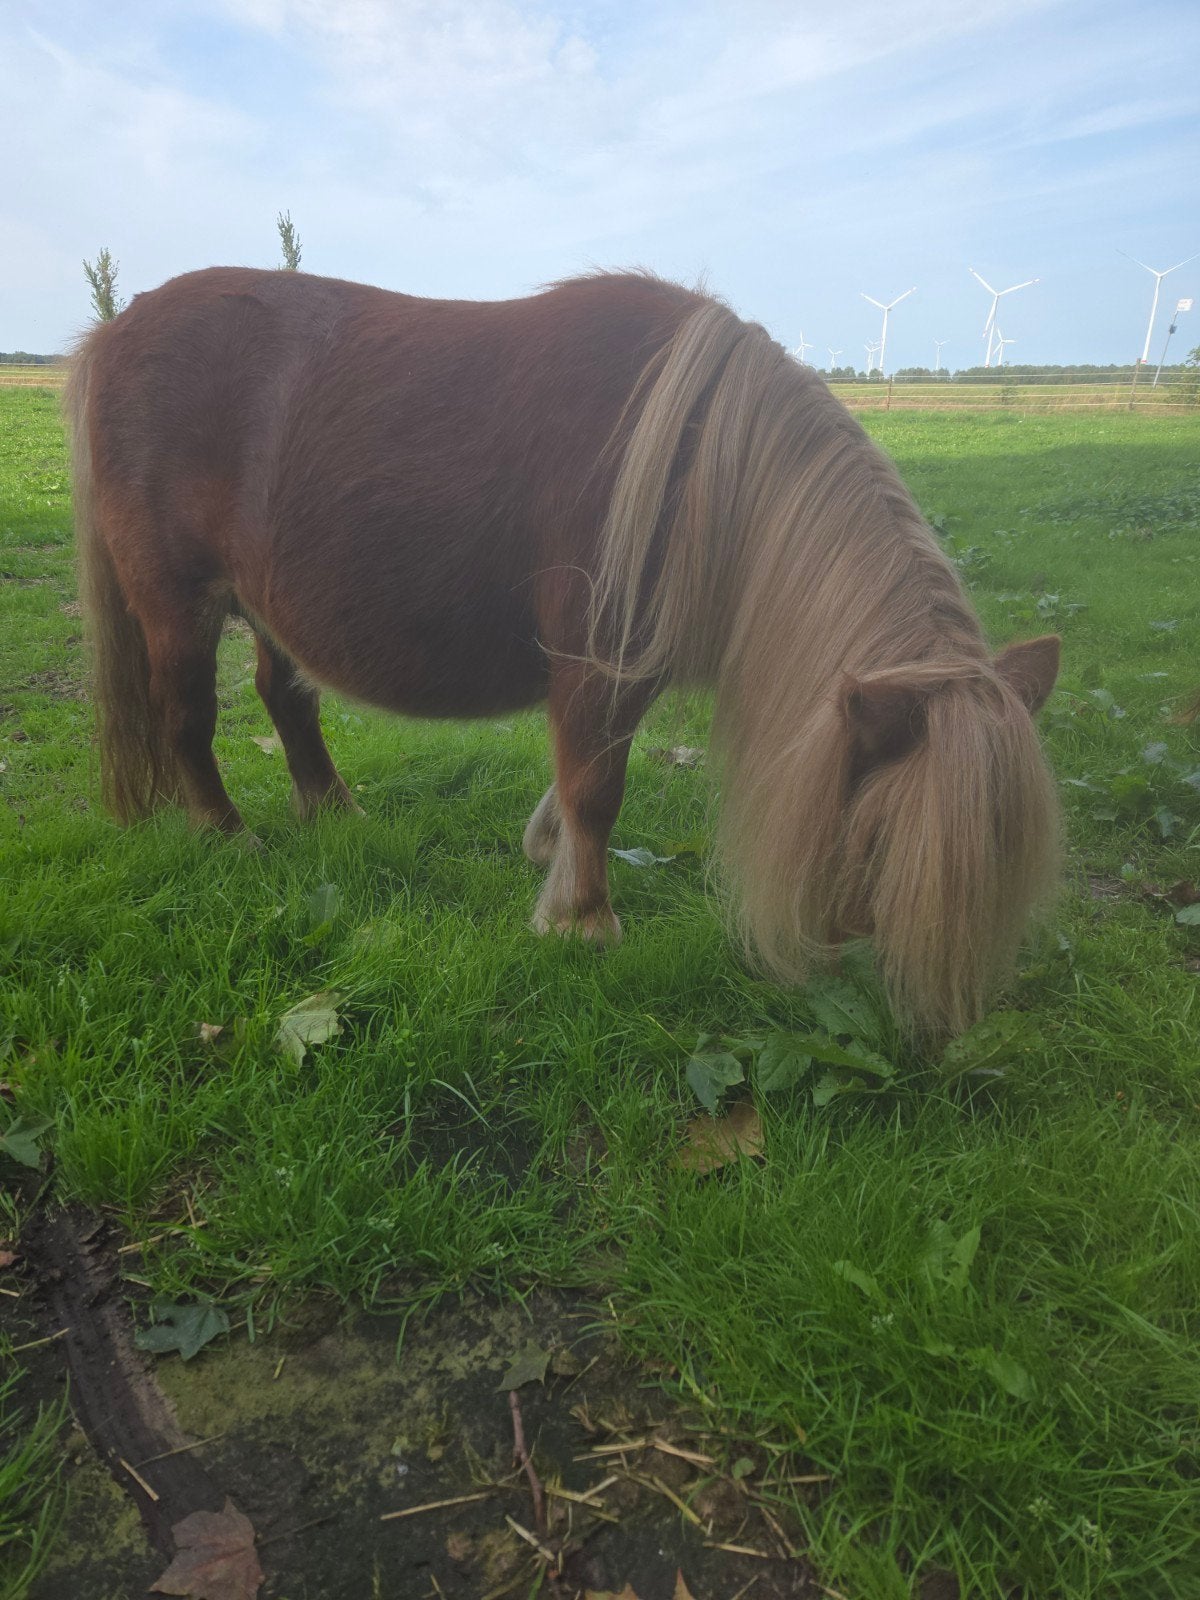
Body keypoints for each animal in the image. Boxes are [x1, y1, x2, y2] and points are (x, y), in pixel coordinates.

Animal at [64, 267, 1062, 1038]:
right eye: (886, 839)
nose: (936, 1035)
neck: (700, 465)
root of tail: (112, 333)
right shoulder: (596, 660)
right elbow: (597, 785)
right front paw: (584, 921)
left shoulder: (624, 668)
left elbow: (578, 776)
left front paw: (549, 859)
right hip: (178, 603)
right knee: (187, 719)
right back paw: (227, 838)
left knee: (285, 694)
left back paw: (335, 810)